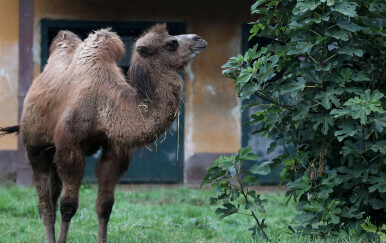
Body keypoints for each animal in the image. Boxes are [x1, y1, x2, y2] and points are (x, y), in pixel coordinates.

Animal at [0, 23, 208, 243]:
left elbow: (105, 206)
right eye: (171, 43)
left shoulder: (114, 151)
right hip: (35, 146)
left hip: (52, 151)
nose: (199, 39)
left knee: (53, 197)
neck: (104, 106)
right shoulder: (70, 149)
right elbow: (68, 206)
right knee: (46, 204)